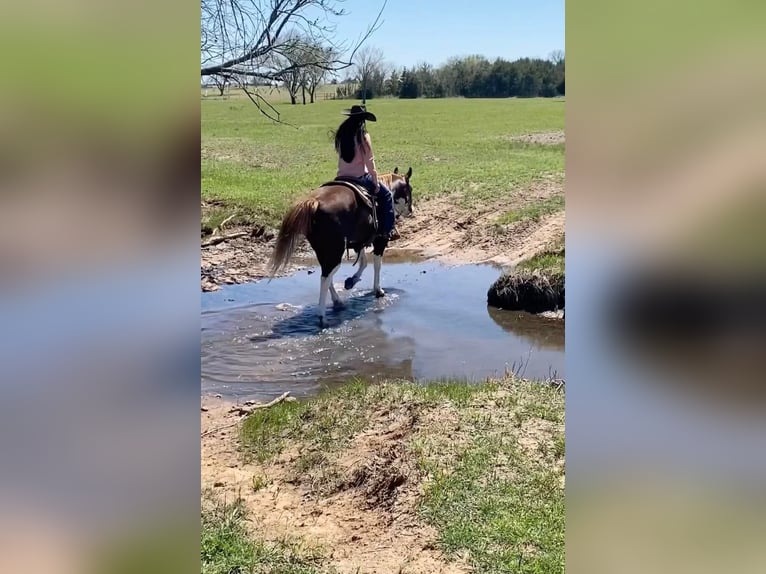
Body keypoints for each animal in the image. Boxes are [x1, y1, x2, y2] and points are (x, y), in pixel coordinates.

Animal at [270, 166, 414, 328]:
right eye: (410, 189)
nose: (411, 210)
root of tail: (314, 202)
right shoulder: (379, 241)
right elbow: (377, 264)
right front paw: (378, 290)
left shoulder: (360, 242)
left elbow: (363, 262)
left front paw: (351, 281)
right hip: (335, 252)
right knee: (326, 277)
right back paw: (323, 317)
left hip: (325, 251)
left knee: (326, 275)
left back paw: (337, 302)